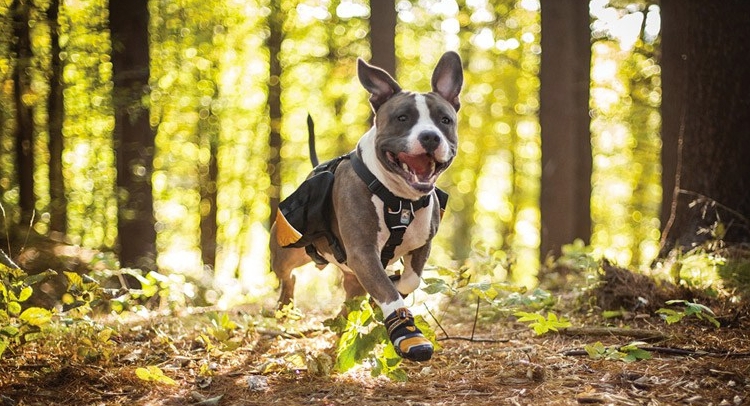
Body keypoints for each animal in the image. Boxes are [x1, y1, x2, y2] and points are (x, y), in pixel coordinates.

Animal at [270, 51, 464, 362]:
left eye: (444, 120)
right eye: (402, 118)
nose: (430, 136)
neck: (398, 197)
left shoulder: (422, 244)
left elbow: (408, 281)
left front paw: (395, 287)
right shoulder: (363, 252)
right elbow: (388, 292)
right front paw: (407, 333)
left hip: (350, 273)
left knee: (350, 295)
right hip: (287, 251)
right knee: (287, 276)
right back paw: (285, 306)